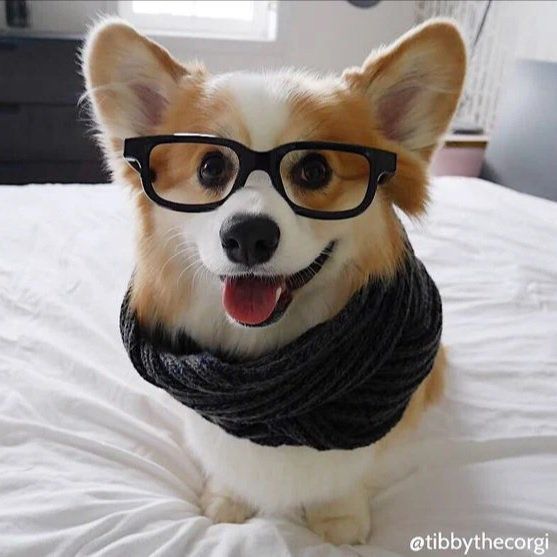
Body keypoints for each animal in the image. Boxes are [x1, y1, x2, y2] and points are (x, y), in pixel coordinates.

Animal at [82, 17, 464, 544]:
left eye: (315, 169)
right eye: (211, 167)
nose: (248, 236)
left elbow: (349, 477)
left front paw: (339, 516)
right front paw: (228, 498)